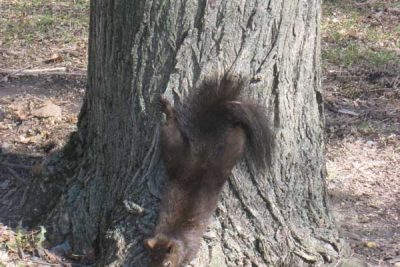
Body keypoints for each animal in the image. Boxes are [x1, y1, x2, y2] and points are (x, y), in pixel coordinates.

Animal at [145, 75, 272, 267]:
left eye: (167, 263)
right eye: (151, 261)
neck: (174, 236)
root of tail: (206, 146)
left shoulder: (191, 247)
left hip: (223, 148)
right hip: (179, 154)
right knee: (171, 128)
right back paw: (167, 107)